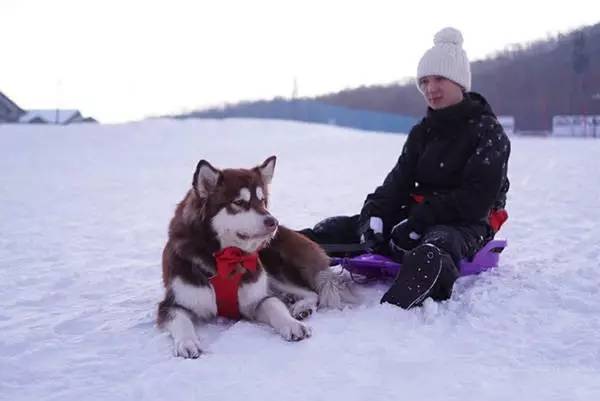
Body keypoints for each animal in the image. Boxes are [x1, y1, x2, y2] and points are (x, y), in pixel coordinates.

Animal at [159, 155, 356, 356]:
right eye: (239, 202)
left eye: (262, 200)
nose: (273, 222)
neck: (226, 259)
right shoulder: (171, 305)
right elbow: (181, 320)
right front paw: (187, 342)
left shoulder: (257, 299)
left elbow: (274, 305)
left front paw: (292, 324)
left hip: (274, 268)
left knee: (311, 292)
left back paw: (302, 307)